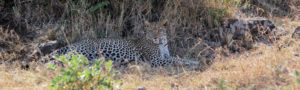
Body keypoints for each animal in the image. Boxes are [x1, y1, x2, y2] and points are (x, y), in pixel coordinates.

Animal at [42, 19, 200, 68]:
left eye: (159, 30)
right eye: (151, 31)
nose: (155, 37)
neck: (161, 43)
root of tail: (74, 43)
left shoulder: (165, 56)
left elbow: (179, 59)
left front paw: (194, 62)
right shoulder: (156, 60)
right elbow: (176, 62)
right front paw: (193, 64)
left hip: (87, 56)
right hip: (82, 51)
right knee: (61, 60)